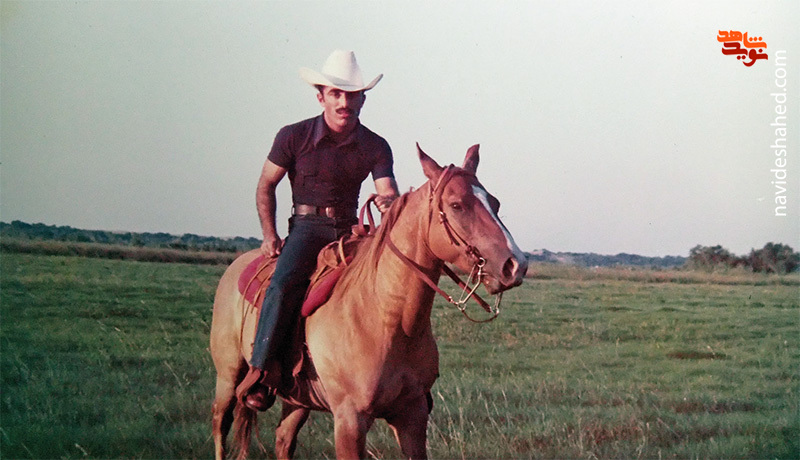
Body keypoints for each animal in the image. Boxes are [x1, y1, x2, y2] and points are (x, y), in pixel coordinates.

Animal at [210, 144, 528, 460]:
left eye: (495, 203)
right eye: (456, 205)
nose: (516, 265)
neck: (385, 318)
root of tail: (237, 264)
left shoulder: (412, 415)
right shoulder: (349, 419)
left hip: (297, 400)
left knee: (283, 439)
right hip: (228, 376)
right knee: (220, 423)